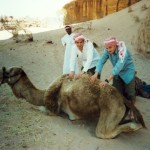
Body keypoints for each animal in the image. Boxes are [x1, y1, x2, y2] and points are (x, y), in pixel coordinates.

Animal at [0, 66, 146, 139]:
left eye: (8, 72)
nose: (1, 76)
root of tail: (121, 98)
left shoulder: (53, 109)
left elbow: (39, 108)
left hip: (111, 108)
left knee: (102, 132)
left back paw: (135, 126)